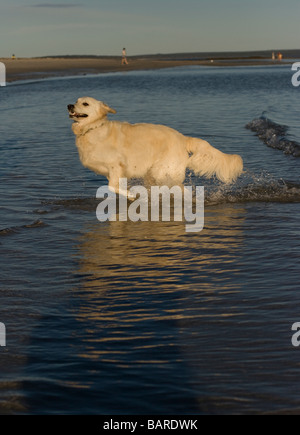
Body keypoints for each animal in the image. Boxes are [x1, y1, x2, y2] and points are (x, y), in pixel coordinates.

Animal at [67, 97, 243, 198]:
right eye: (76, 101)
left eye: (85, 104)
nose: (69, 105)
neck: (92, 128)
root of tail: (182, 138)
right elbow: (114, 186)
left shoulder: (116, 165)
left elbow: (112, 187)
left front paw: (131, 195)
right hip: (153, 174)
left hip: (163, 172)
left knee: (182, 190)